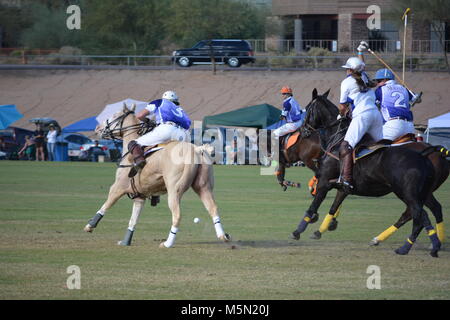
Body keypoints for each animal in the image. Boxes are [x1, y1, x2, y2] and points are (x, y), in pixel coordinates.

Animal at [83, 104, 232, 249]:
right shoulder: (140, 196)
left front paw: (90, 226)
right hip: (204, 187)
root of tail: (196, 149)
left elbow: (106, 205)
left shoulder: (118, 187)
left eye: (115, 115)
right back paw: (223, 236)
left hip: (174, 190)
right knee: (213, 208)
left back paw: (167, 244)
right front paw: (125, 242)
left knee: (177, 215)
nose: (97, 128)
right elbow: (133, 220)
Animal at [292, 89, 442, 258]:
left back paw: (408, 247)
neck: (337, 139)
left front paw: (299, 230)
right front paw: (325, 226)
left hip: (407, 193)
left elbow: (313, 206)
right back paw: (429, 244)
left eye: (307, 109)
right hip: (421, 193)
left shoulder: (324, 182)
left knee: (419, 215)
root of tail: (424, 155)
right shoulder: (343, 187)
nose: (302, 131)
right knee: (429, 211)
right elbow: (333, 207)